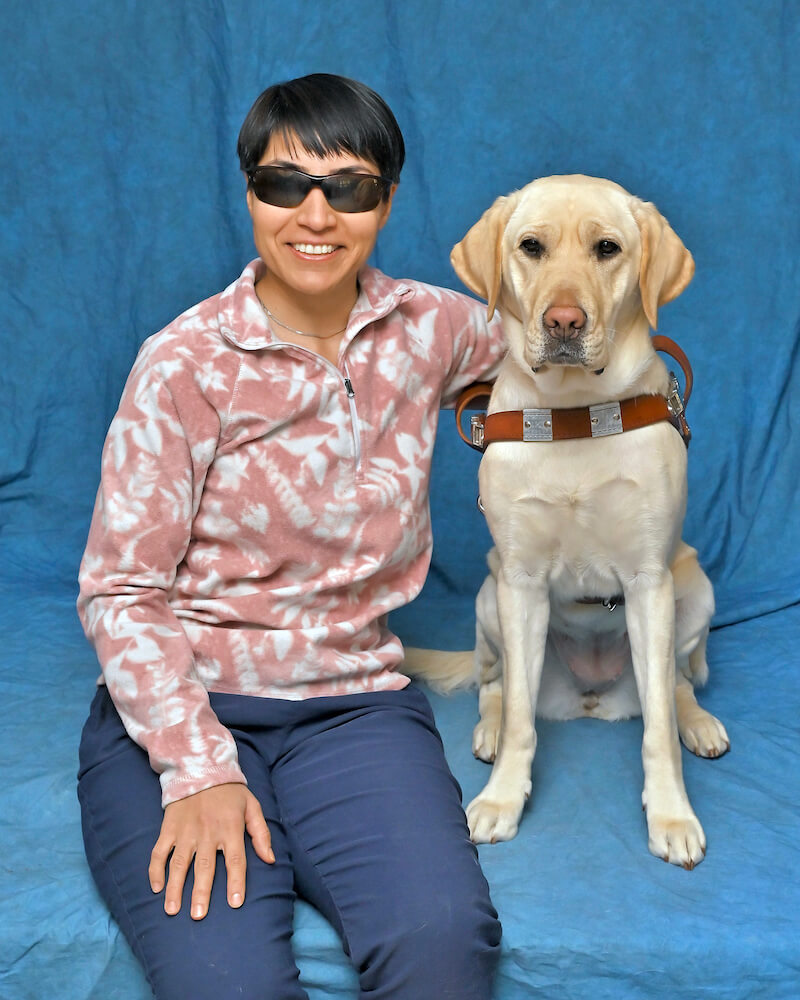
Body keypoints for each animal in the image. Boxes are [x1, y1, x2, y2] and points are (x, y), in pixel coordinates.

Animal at [410, 174, 728, 868]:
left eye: (607, 248)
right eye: (531, 246)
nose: (563, 321)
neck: (574, 412)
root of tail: (589, 700)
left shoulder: (649, 583)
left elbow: (658, 729)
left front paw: (672, 814)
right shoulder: (521, 583)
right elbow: (522, 719)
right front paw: (502, 799)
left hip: (695, 589)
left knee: (676, 686)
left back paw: (698, 722)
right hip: (488, 596)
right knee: (495, 683)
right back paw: (488, 728)